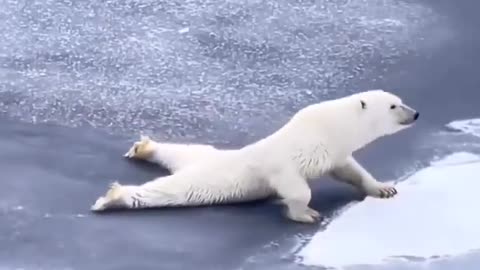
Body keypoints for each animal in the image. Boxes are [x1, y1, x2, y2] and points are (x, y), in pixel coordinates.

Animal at [91, 90, 420, 224]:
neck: (330, 127)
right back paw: (113, 197)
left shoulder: (334, 152)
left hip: (204, 156)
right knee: (176, 191)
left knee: (185, 152)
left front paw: (384, 188)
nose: (416, 113)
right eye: (394, 105)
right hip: (214, 176)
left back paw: (144, 148)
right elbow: (293, 184)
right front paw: (306, 214)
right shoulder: (288, 156)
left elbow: (351, 170)